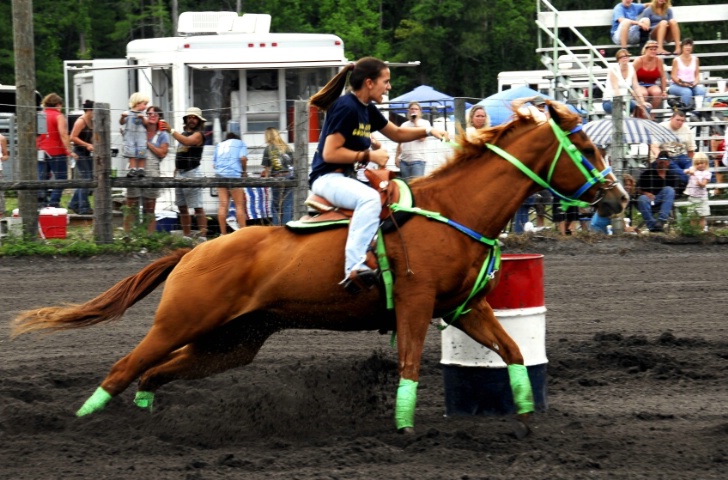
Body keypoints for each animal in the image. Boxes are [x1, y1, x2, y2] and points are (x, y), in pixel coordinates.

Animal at [12, 101, 624, 436]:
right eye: (588, 150)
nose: (618, 198)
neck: (453, 211)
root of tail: (193, 250)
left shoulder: (465, 308)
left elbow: (514, 352)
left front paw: (524, 415)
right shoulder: (417, 304)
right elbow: (408, 365)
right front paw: (404, 427)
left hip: (233, 341)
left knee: (152, 374)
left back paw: (146, 420)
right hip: (179, 322)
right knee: (124, 367)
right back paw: (82, 424)